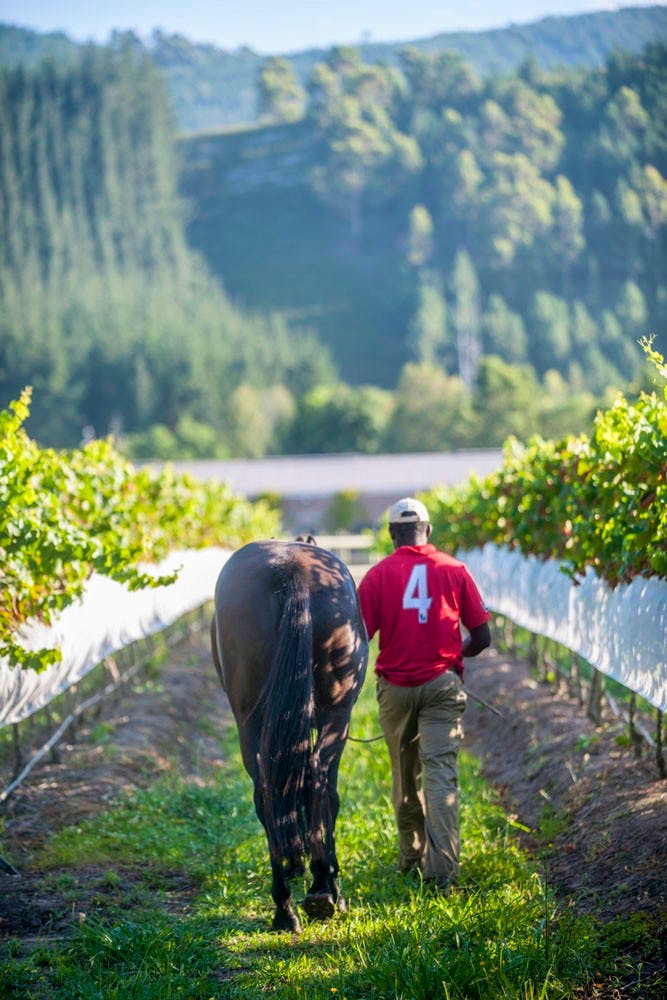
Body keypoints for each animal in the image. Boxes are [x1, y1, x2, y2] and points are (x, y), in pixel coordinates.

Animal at [210, 538, 368, 933]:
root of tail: (289, 567)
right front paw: (325, 880)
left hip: (250, 722)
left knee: (266, 792)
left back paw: (284, 906)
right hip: (337, 715)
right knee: (321, 784)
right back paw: (324, 890)